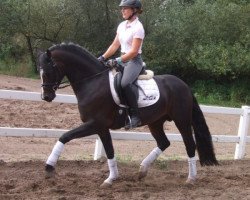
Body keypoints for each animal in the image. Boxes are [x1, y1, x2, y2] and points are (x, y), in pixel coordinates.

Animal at [37, 42, 219, 188]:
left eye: (48, 71)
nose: (46, 97)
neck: (92, 82)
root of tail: (184, 85)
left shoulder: (95, 124)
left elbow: (65, 136)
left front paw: (49, 167)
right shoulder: (101, 128)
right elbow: (109, 151)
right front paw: (111, 179)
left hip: (181, 120)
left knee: (190, 145)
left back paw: (191, 179)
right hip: (155, 122)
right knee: (164, 142)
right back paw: (142, 170)